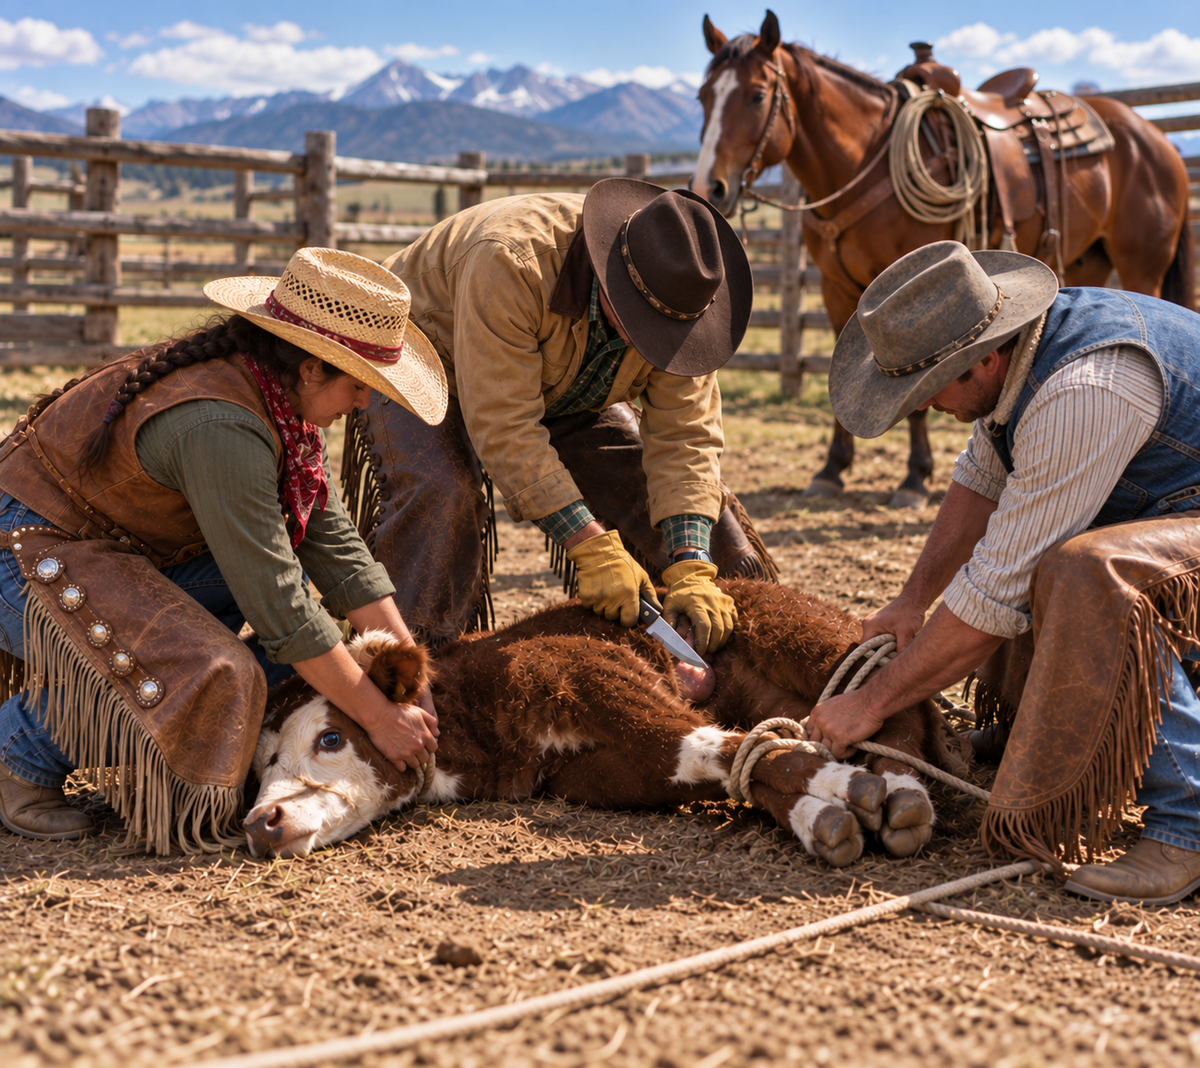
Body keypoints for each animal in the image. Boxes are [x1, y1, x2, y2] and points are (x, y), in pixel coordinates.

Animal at [245, 581, 960, 866]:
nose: (260, 823)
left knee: (892, 707)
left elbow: (716, 742)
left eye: (331, 737)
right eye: (262, 764)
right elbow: (721, 761)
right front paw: (821, 816)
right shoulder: (600, 773)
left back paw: (902, 794)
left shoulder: (594, 675)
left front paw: (845, 790)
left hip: (810, 638)